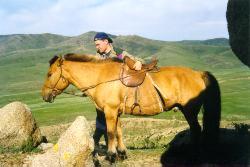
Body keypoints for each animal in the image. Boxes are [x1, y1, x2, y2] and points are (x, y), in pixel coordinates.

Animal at [41, 53, 221, 163]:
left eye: (49, 74)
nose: (44, 95)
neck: (101, 78)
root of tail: (199, 73)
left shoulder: (110, 111)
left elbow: (110, 133)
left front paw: (111, 156)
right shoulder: (116, 112)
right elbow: (119, 132)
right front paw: (122, 153)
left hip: (190, 110)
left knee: (196, 129)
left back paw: (194, 154)